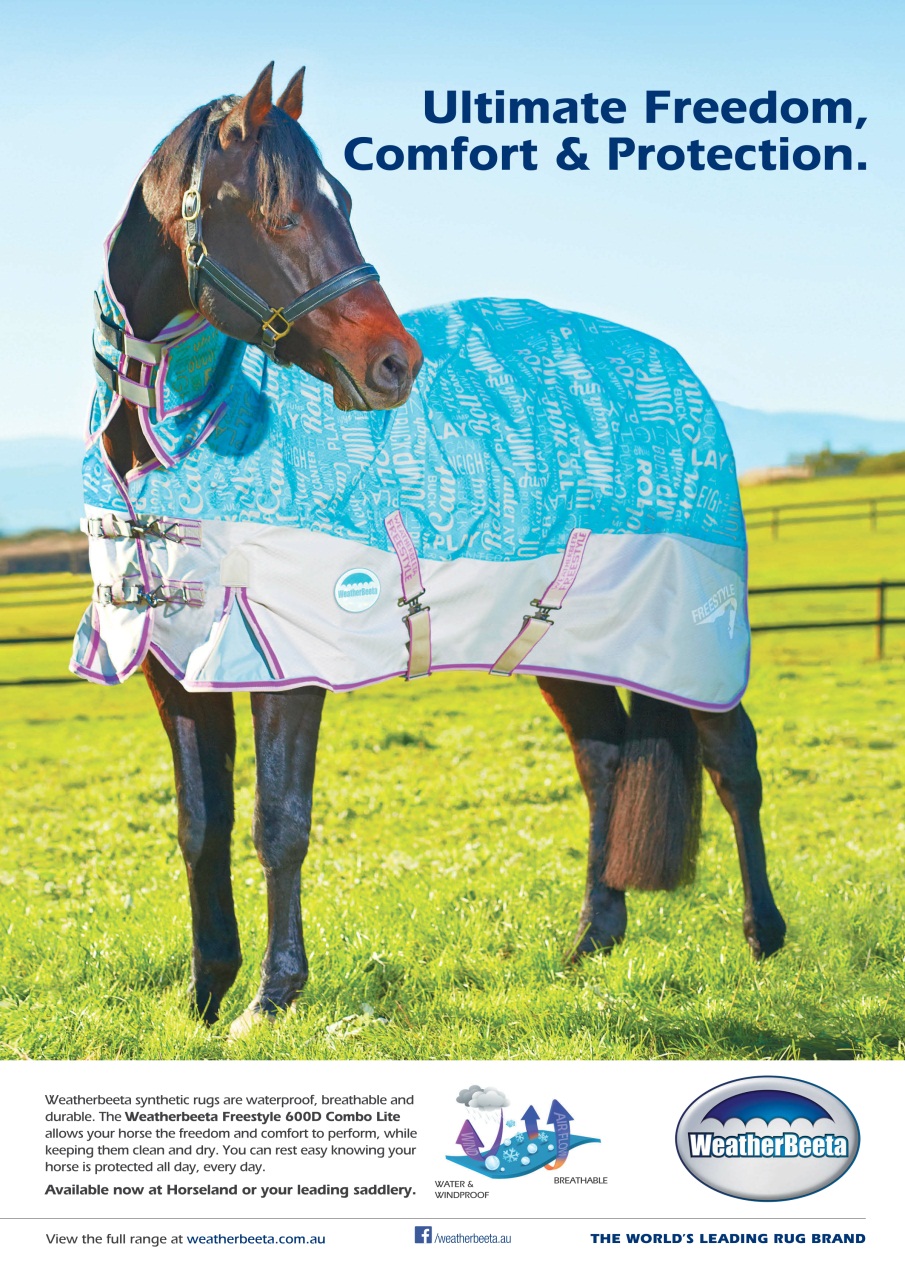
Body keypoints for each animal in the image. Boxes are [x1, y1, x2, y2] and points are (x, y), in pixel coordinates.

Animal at [88, 63, 786, 1038]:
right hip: (561, 636)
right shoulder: (173, 667)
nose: (393, 364)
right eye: (275, 211)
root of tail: (674, 377)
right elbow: (200, 827)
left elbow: (278, 823)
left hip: (688, 632)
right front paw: (203, 995)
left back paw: (763, 936)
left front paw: (270, 997)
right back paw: (591, 940)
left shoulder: (286, 665)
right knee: (605, 758)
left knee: (731, 757)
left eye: (341, 201)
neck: (184, 442)